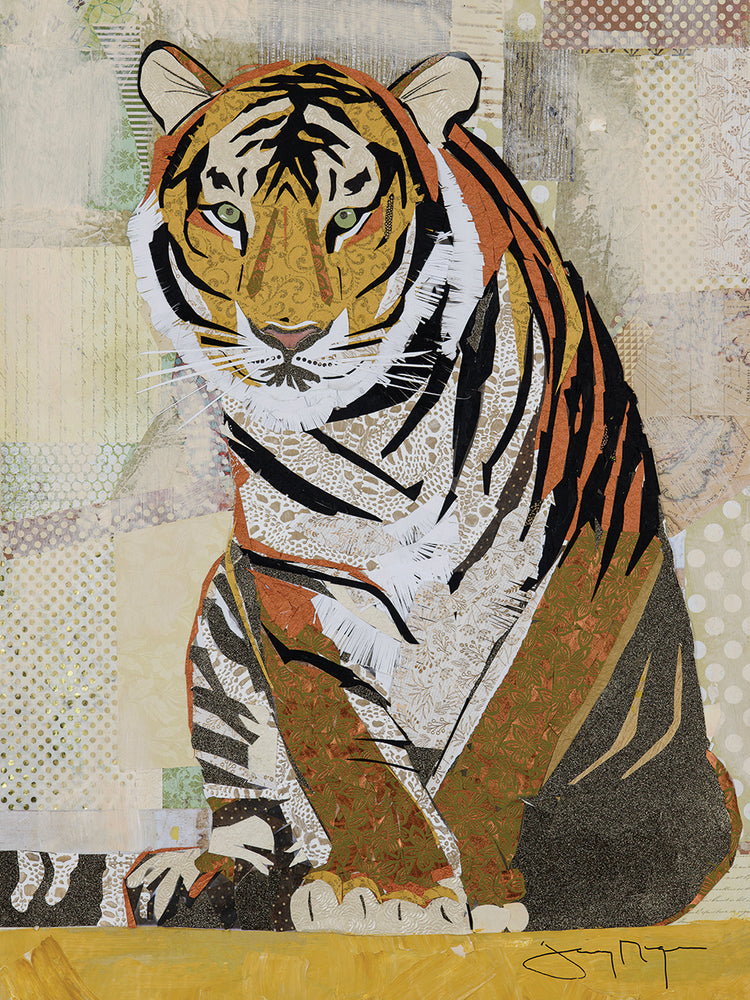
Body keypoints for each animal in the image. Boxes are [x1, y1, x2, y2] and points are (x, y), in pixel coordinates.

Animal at [124, 41, 740, 934]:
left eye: (348, 216)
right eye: (228, 214)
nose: (287, 336)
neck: (373, 435)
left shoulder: (584, 547)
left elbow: (507, 727)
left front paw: (479, 888)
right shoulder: (285, 574)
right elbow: (343, 743)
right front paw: (388, 891)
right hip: (218, 631)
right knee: (255, 814)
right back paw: (201, 878)